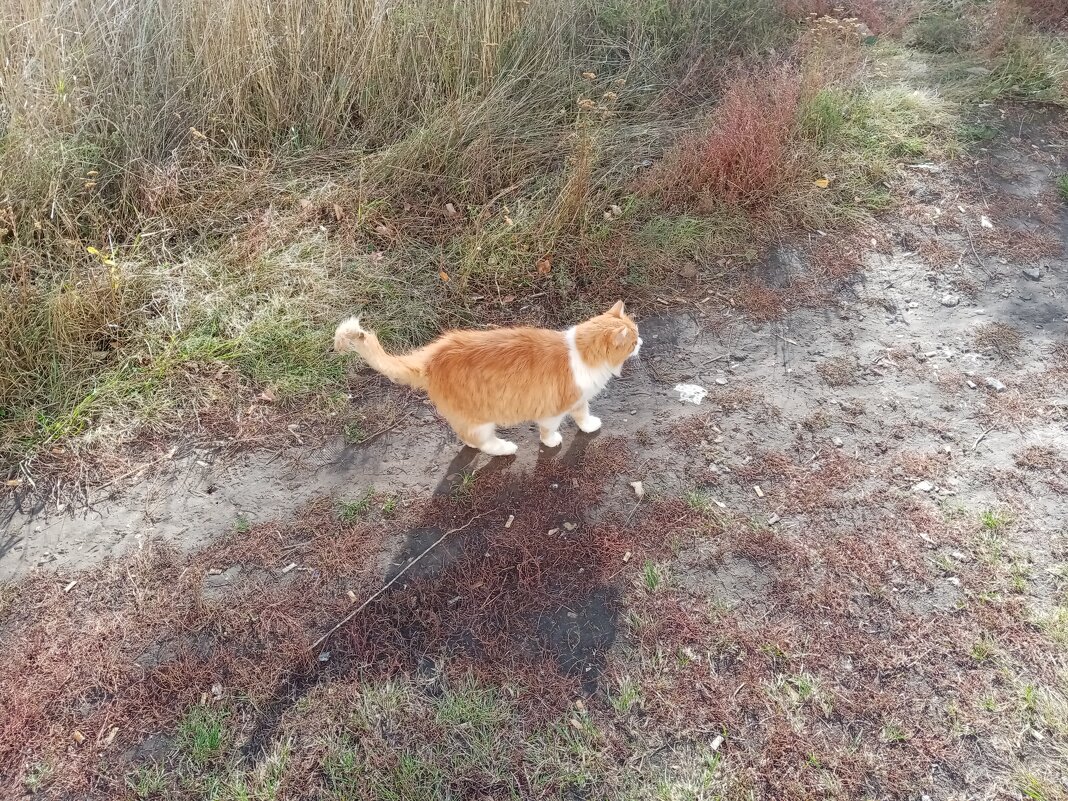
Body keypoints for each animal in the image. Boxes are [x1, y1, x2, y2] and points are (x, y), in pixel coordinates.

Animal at [333, 303, 636, 454]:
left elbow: (583, 414)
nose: (642, 342)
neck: (581, 354)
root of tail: (431, 358)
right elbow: (549, 430)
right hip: (481, 420)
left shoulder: (578, 399)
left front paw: (588, 426)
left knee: (466, 437)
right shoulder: (552, 409)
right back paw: (505, 448)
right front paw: (551, 442)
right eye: (633, 341)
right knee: (483, 443)